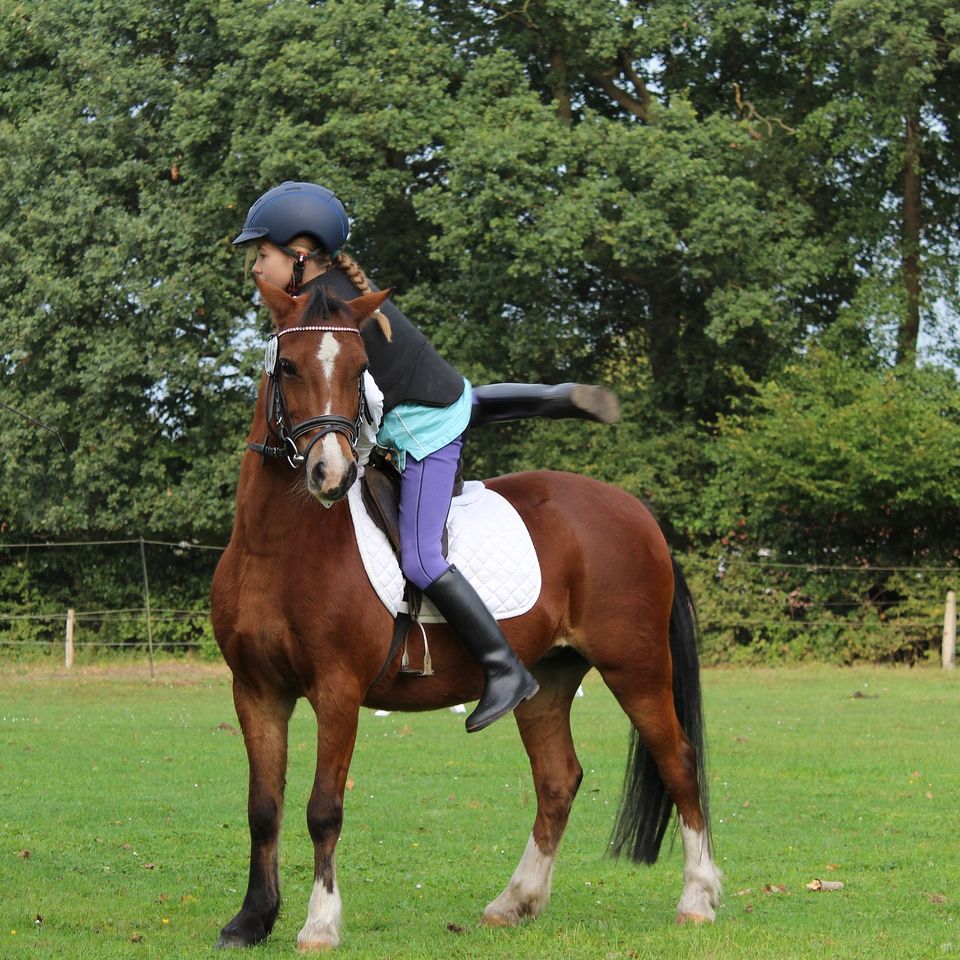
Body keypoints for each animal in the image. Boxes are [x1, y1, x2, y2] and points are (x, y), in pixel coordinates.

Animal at [210, 277, 722, 950]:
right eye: (288, 366)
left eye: (359, 369)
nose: (331, 472)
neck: (277, 547)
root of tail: (637, 512)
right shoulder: (257, 691)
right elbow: (262, 808)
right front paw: (251, 919)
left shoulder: (337, 691)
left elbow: (323, 809)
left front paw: (319, 924)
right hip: (549, 678)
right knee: (558, 779)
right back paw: (515, 901)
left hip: (635, 666)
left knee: (679, 762)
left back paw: (698, 899)